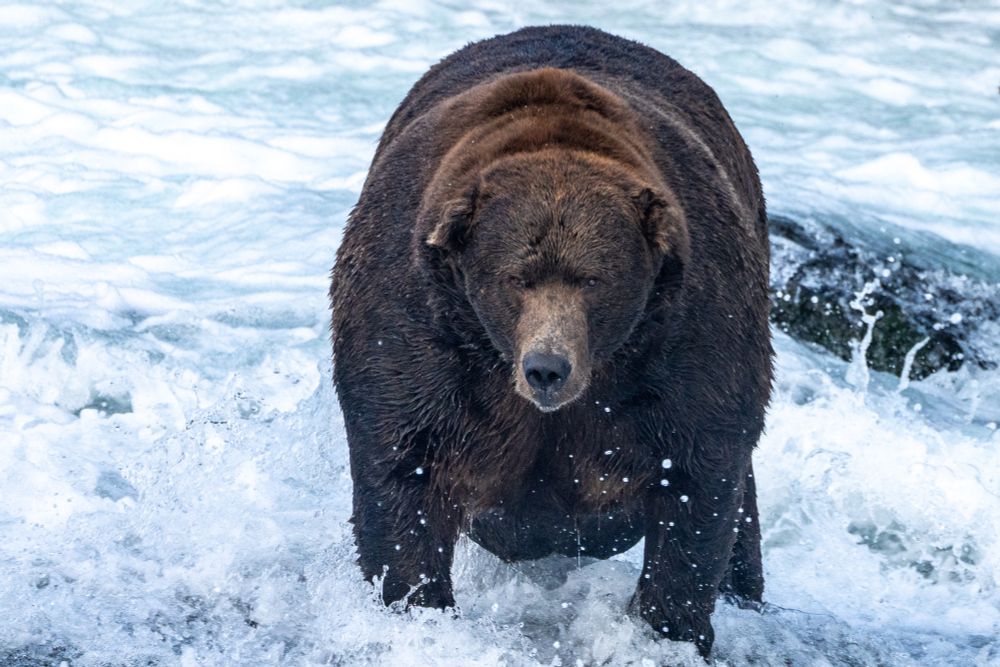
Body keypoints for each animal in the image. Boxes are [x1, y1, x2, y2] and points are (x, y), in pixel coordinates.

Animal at [332, 24, 768, 656]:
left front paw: (669, 626)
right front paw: (417, 603)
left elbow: (698, 477)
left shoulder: (689, 330)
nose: (546, 367)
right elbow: (404, 466)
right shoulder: (418, 322)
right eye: (516, 278)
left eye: (593, 279)